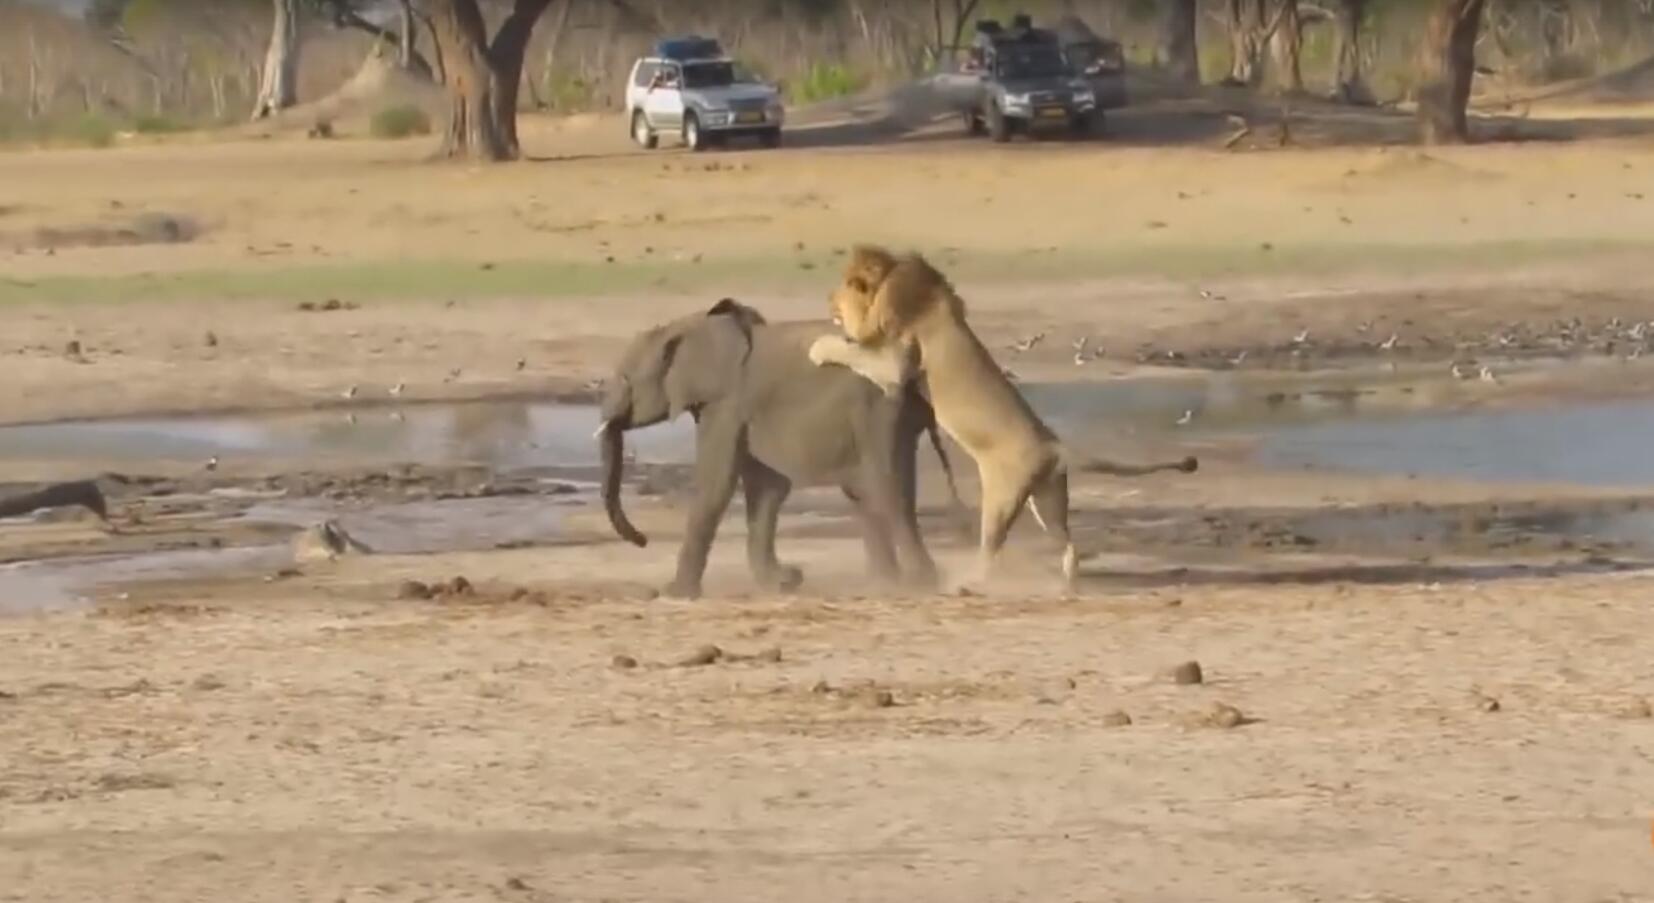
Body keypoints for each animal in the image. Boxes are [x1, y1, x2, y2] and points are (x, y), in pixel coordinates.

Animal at [807, 243, 1197, 585]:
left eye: (839, 293)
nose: (826, 300)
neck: (890, 280)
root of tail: (1054, 447)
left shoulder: (895, 365)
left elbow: (850, 349)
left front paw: (819, 347)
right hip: (1047, 500)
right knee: (1068, 544)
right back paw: (1067, 582)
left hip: (1000, 501)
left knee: (990, 551)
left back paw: (970, 581)